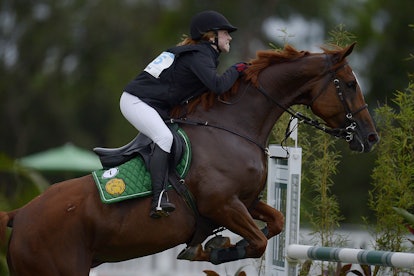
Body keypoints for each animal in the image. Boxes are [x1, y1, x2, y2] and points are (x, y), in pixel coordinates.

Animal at [0, 42, 378, 274]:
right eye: (349, 84)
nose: (371, 137)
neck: (233, 128)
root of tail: (19, 214)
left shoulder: (244, 201)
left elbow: (277, 223)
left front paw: (213, 246)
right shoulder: (222, 203)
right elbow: (256, 242)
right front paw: (216, 250)